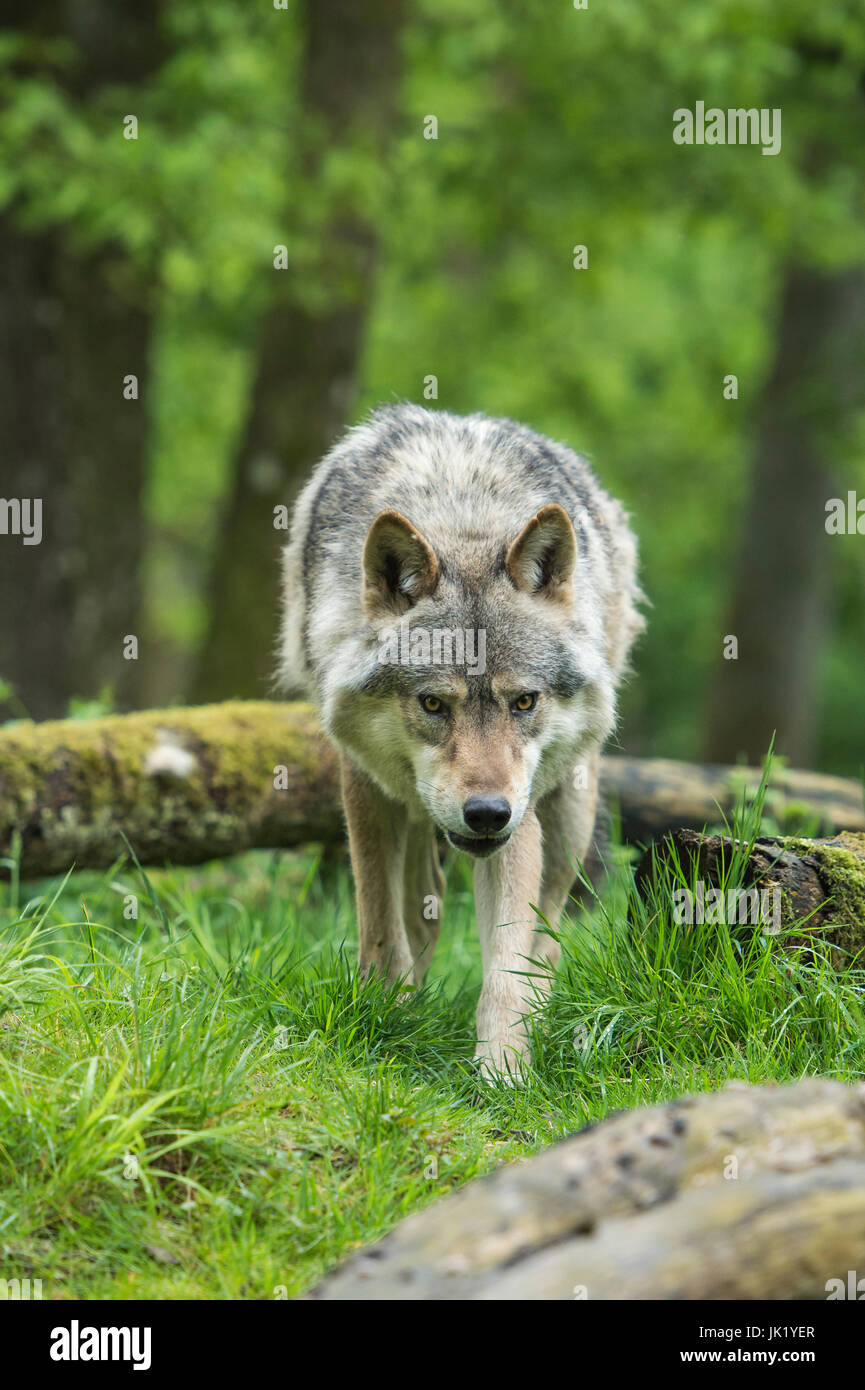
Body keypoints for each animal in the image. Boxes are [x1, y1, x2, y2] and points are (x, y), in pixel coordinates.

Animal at [278, 403, 645, 1073]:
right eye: (433, 703)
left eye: (523, 701)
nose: (486, 813)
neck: (462, 524)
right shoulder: (364, 786)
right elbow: (380, 921)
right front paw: (385, 1011)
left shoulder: (520, 820)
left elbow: (506, 964)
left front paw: (504, 1069)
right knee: (423, 907)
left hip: (570, 808)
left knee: (549, 933)